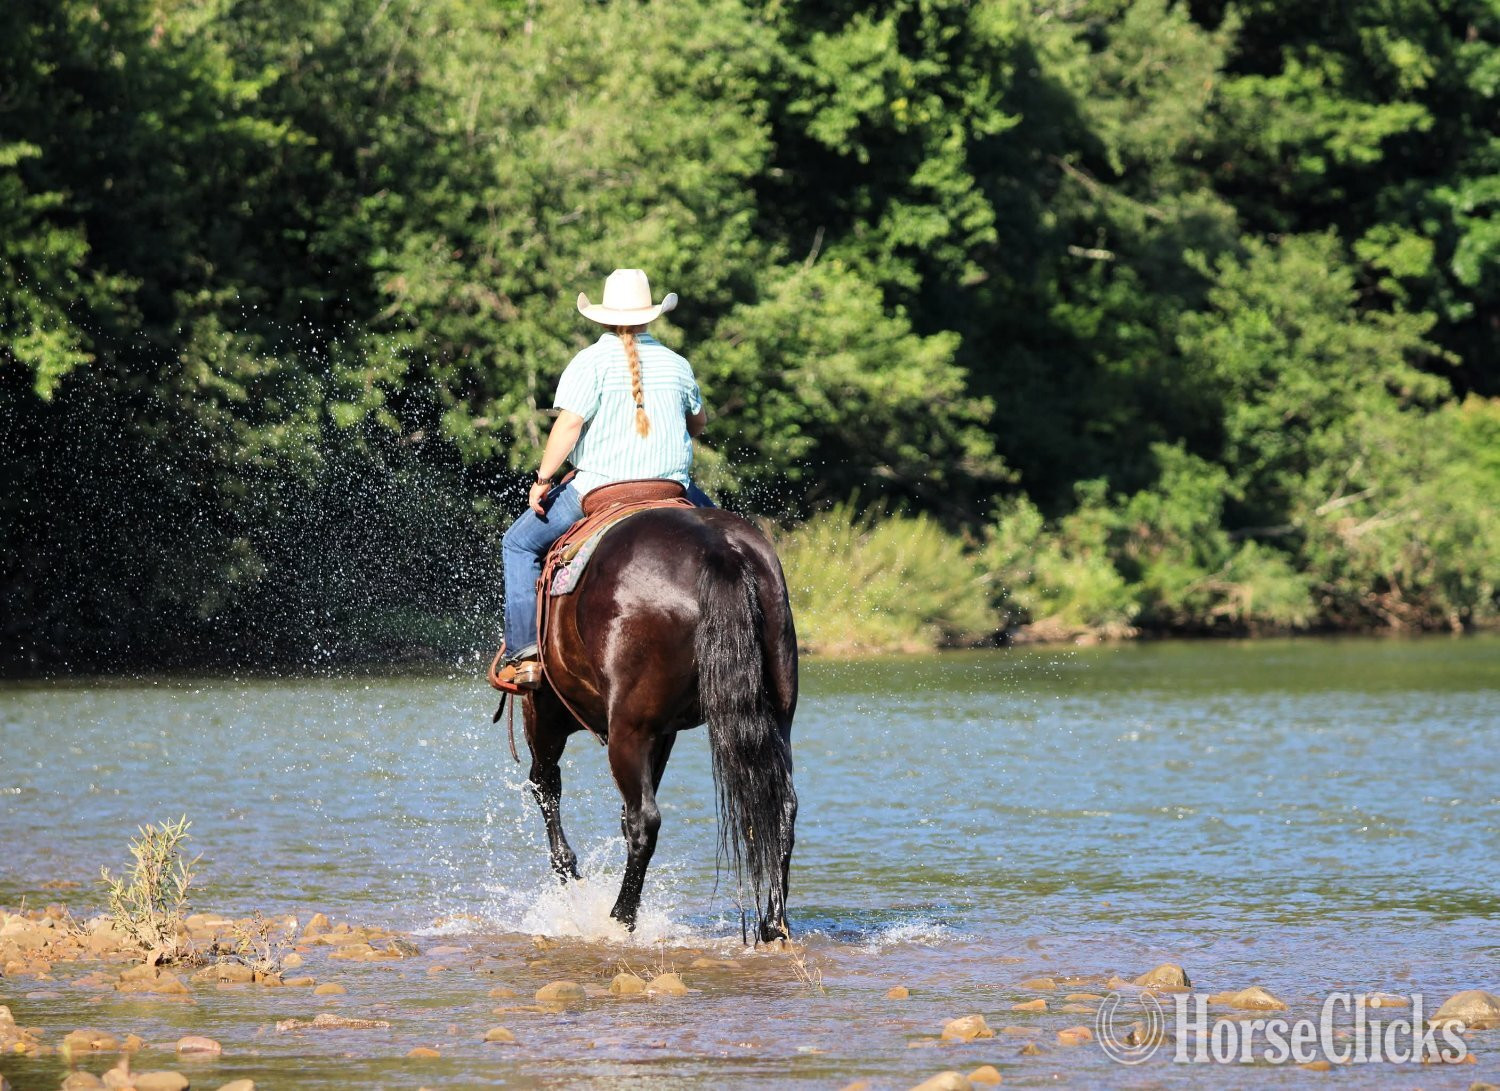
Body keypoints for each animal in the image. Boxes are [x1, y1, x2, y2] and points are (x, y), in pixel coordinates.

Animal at [519, 505, 798, 942]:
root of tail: (720, 550)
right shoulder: (663, 734)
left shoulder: (544, 712)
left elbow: (545, 784)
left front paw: (568, 871)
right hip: (776, 720)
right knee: (781, 807)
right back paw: (773, 923)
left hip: (626, 731)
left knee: (643, 821)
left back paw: (621, 918)